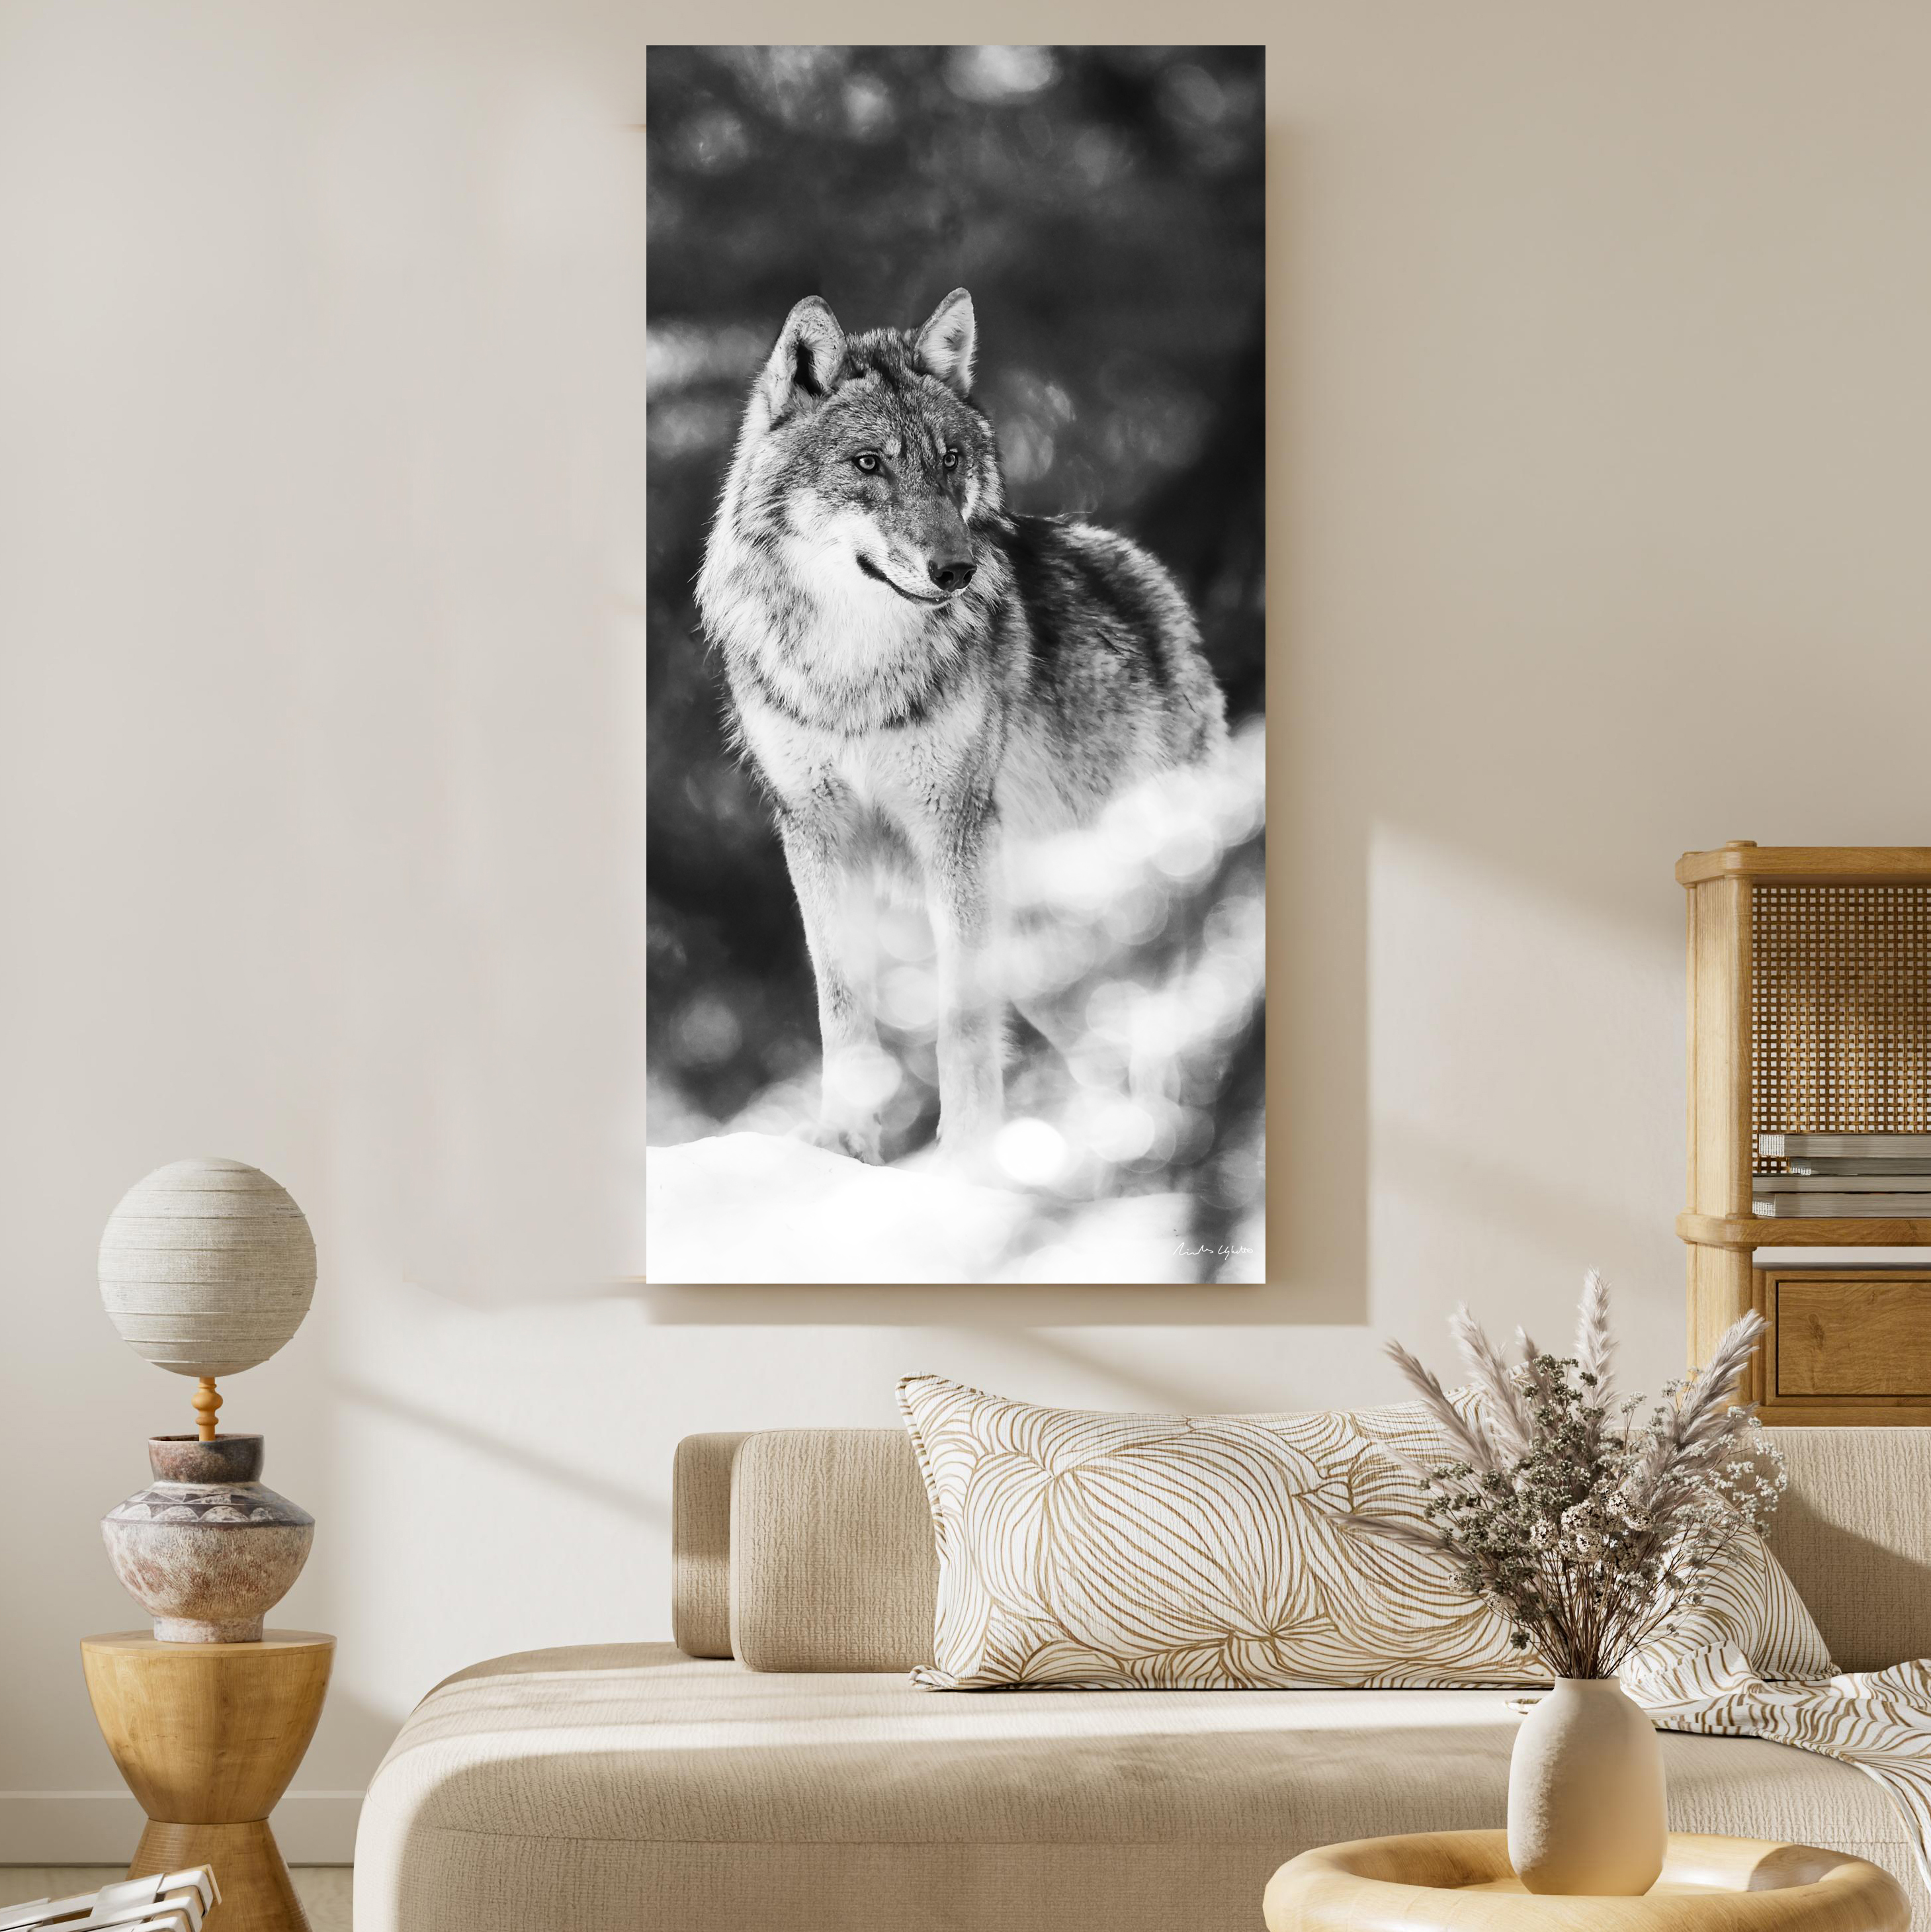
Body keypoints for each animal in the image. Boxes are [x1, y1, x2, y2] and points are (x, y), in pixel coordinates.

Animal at [696, 288, 1228, 1163]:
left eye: (949, 459)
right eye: (868, 463)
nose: (957, 570)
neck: (856, 673)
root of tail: (1158, 592)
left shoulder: (955, 827)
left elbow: (965, 1018)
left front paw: (967, 1157)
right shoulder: (815, 829)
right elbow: (841, 1003)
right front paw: (844, 1145)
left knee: (1167, 1043)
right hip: (1049, 958)